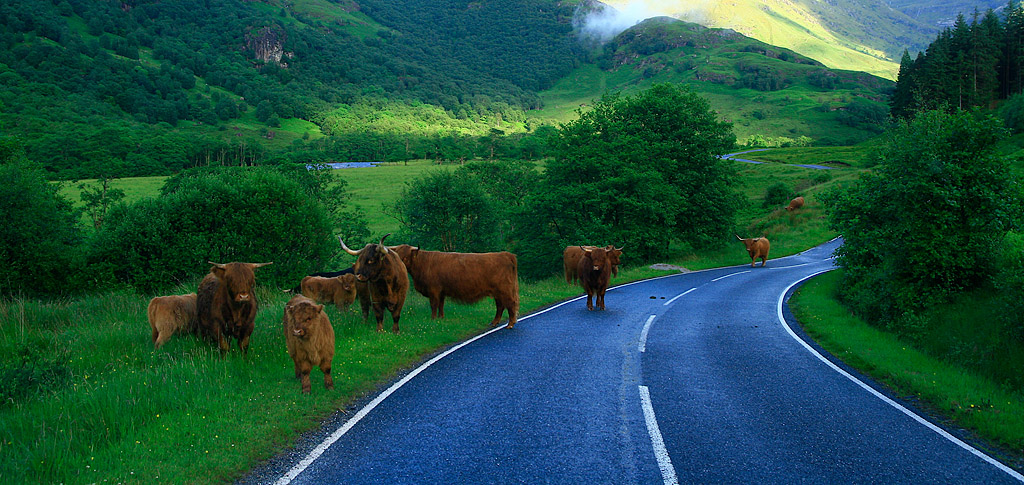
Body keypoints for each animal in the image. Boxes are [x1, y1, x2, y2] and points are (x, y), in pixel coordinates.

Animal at [389, 246, 524, 329]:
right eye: (397, 255)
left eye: (405, 257)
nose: (399, 266)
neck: (422, 264)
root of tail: (505, 254)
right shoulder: (441, 292)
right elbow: (441, 305)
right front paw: (441, 318)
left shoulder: (434, 290)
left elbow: (434, 305)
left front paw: (433, 319)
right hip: (497, 292)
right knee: (500, 306)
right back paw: (494, 322)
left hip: (505, 290)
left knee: (511, 304)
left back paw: (510, 324)